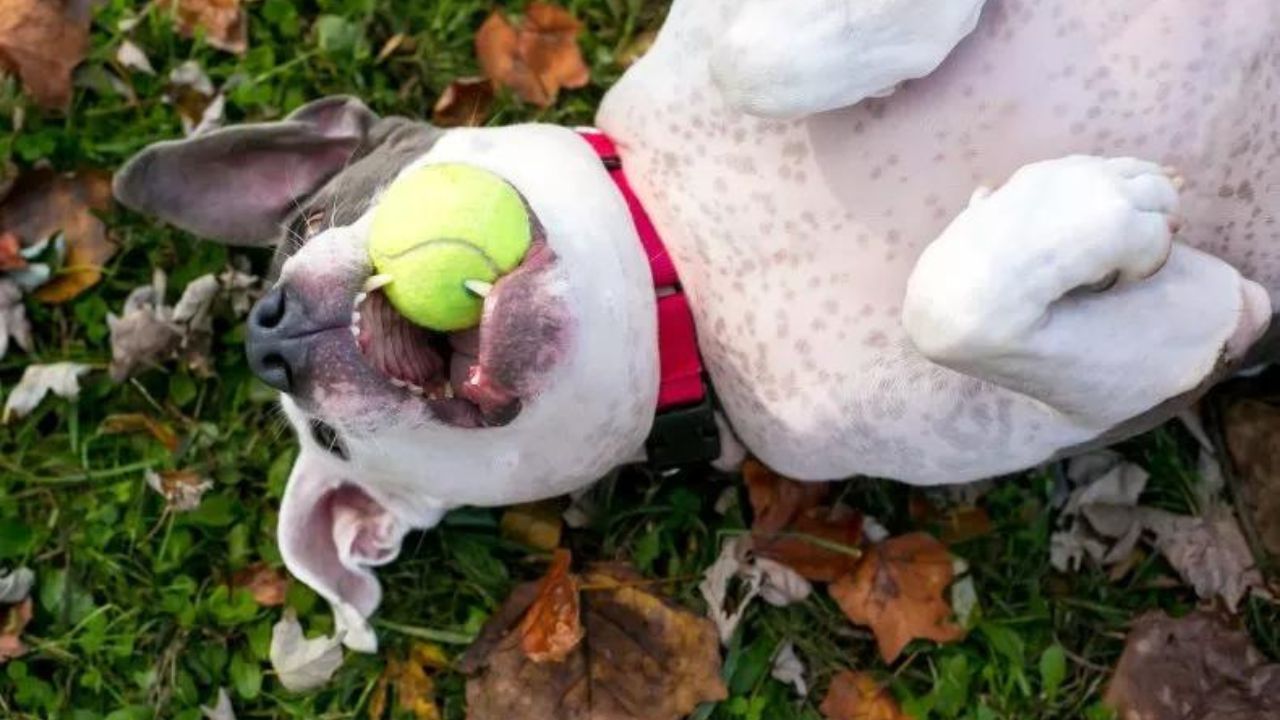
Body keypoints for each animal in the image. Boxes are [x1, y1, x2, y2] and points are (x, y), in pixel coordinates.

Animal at [112, 0, 1280, 648]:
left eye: (313, 219)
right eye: (332, 443)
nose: (269, 337)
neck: (690, 266)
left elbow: (752, 57)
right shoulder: (1090, 396)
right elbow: (957, 302)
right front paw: (1121, 238)